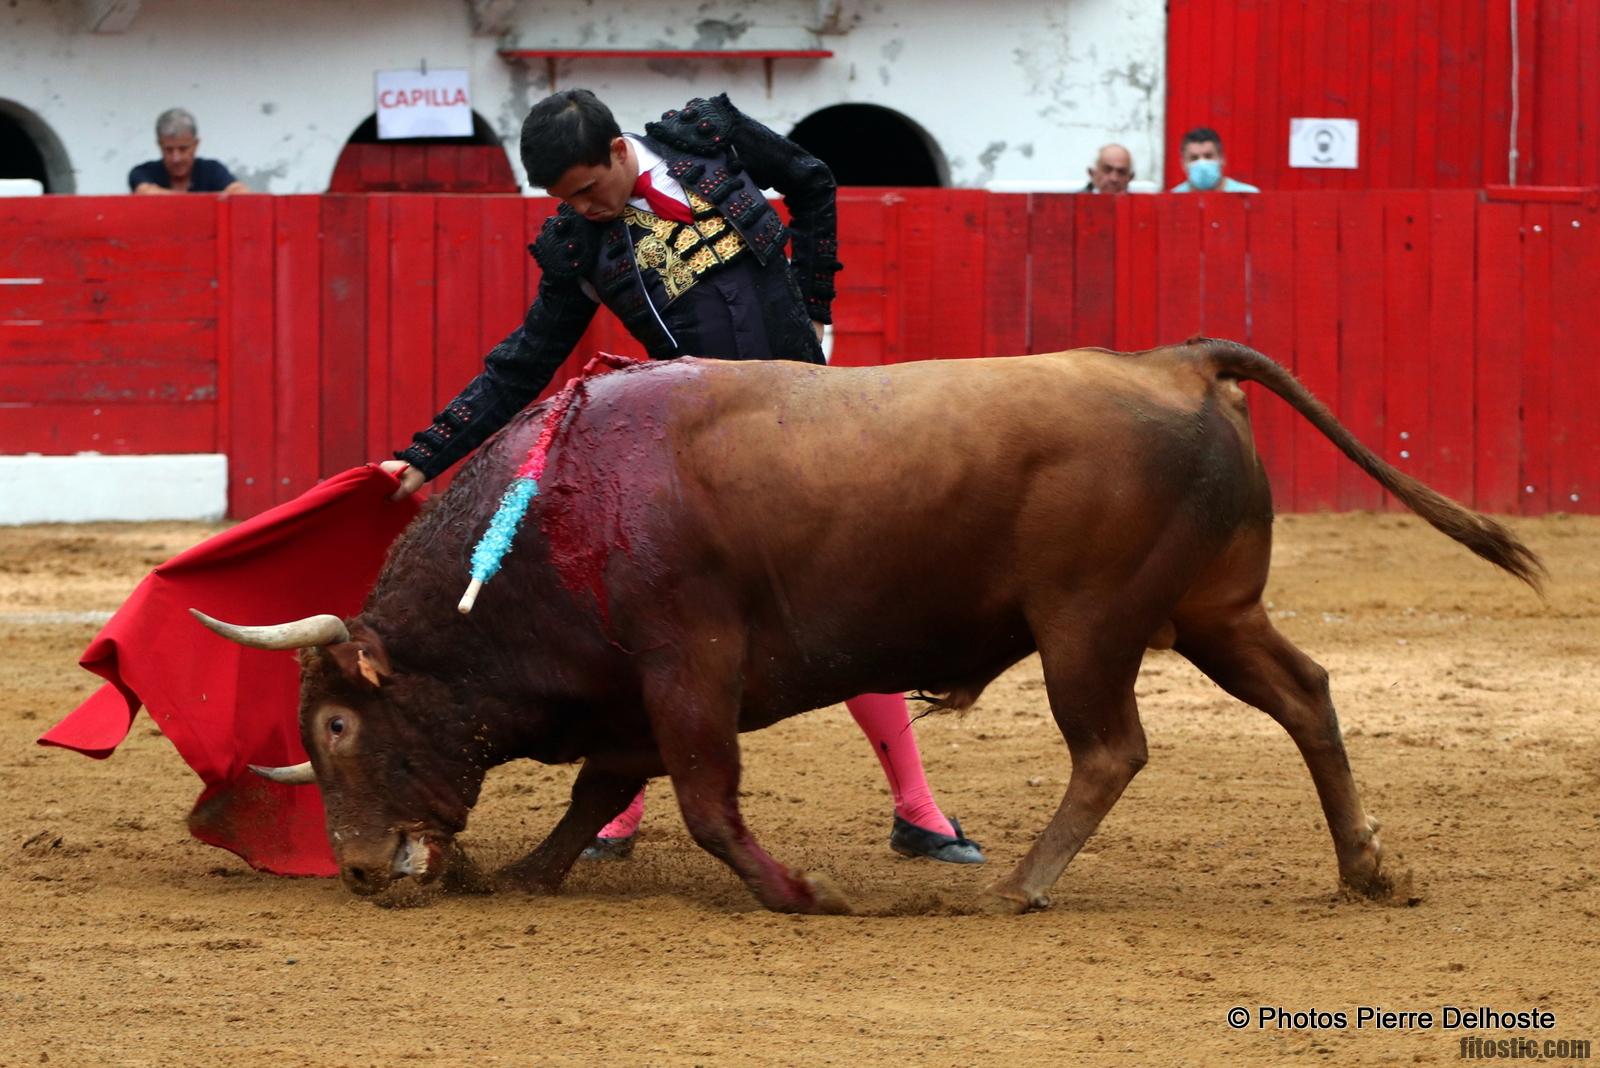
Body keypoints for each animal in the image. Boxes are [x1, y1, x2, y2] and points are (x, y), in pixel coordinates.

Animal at [193, 337, 1542, 914]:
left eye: (334, 725)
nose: (358, 870)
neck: (557, 510)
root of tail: (1175, 361)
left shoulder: (688, 665)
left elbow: (703, 797)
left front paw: (801, 894)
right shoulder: (632, 689)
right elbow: (599, 790)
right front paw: (532, 871)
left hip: (1088, 624)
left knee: (1110, 748)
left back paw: (1021, 887)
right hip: (1214, 613)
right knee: (1308, 695)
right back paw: (1366, 869)